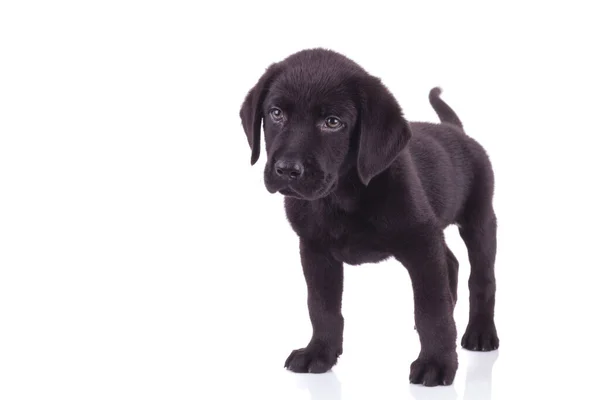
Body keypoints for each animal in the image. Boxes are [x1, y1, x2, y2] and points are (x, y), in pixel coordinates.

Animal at [238, 48, 496, 386]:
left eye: (333, 122)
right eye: (276, 113)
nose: (287, 170)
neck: (340, 197)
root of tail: (455, 131)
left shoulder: (422, 242)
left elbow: (431, 309)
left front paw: (436, 362)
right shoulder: (315, 250)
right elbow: (322, 307)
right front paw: (319, 352)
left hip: (480, 222)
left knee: (481, 279)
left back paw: (480, 333)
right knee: (451, 263)